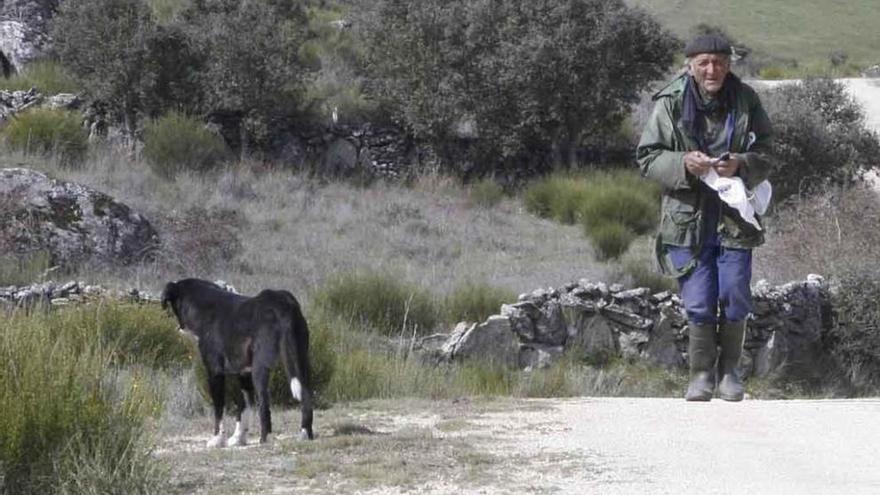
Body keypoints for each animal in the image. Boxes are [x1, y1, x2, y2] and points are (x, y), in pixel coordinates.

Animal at [160, 280, 314, 446]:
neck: (205, 309)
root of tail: (282, 302)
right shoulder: (243, 374)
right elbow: (243, 407)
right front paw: (238, 437)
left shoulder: (215, 372)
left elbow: (219, 409)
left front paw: (218, 438)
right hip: (301, 360)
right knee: (306, 395)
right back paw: (305, 433)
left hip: (260, 368)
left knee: (264, 403)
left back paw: (264, 438)